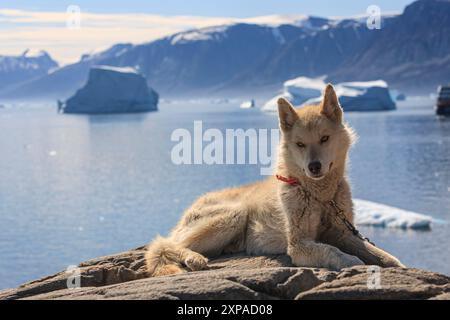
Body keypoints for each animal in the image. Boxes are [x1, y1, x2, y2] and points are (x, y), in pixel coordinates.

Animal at [145, 84, 404, 276]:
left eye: (324, 138)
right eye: (300, 144)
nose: (314, 166)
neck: (319, 196)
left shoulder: (344, 233)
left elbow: (380, 253)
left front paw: (393, 264)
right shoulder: (299, 245)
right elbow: (335, 252)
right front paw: (356, 263)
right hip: (233, 215)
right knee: (168, 244)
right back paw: (193, 257)